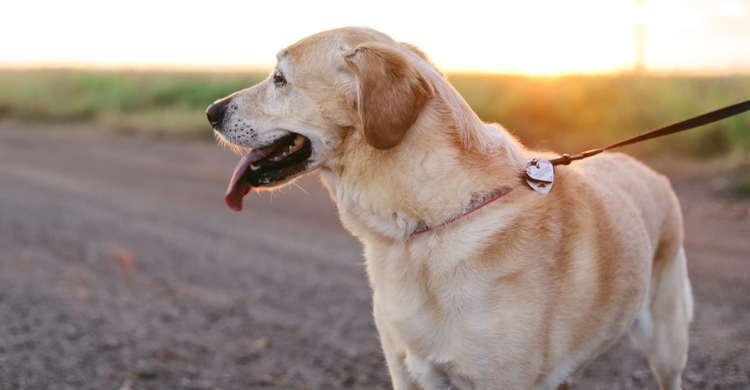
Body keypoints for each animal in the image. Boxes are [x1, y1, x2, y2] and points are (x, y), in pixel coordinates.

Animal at [206, 25, 692, 388]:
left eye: (280, 79)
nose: (211, 111)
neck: (422, 225)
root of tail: (647, 169)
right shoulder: (409, 372)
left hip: (667, 345)